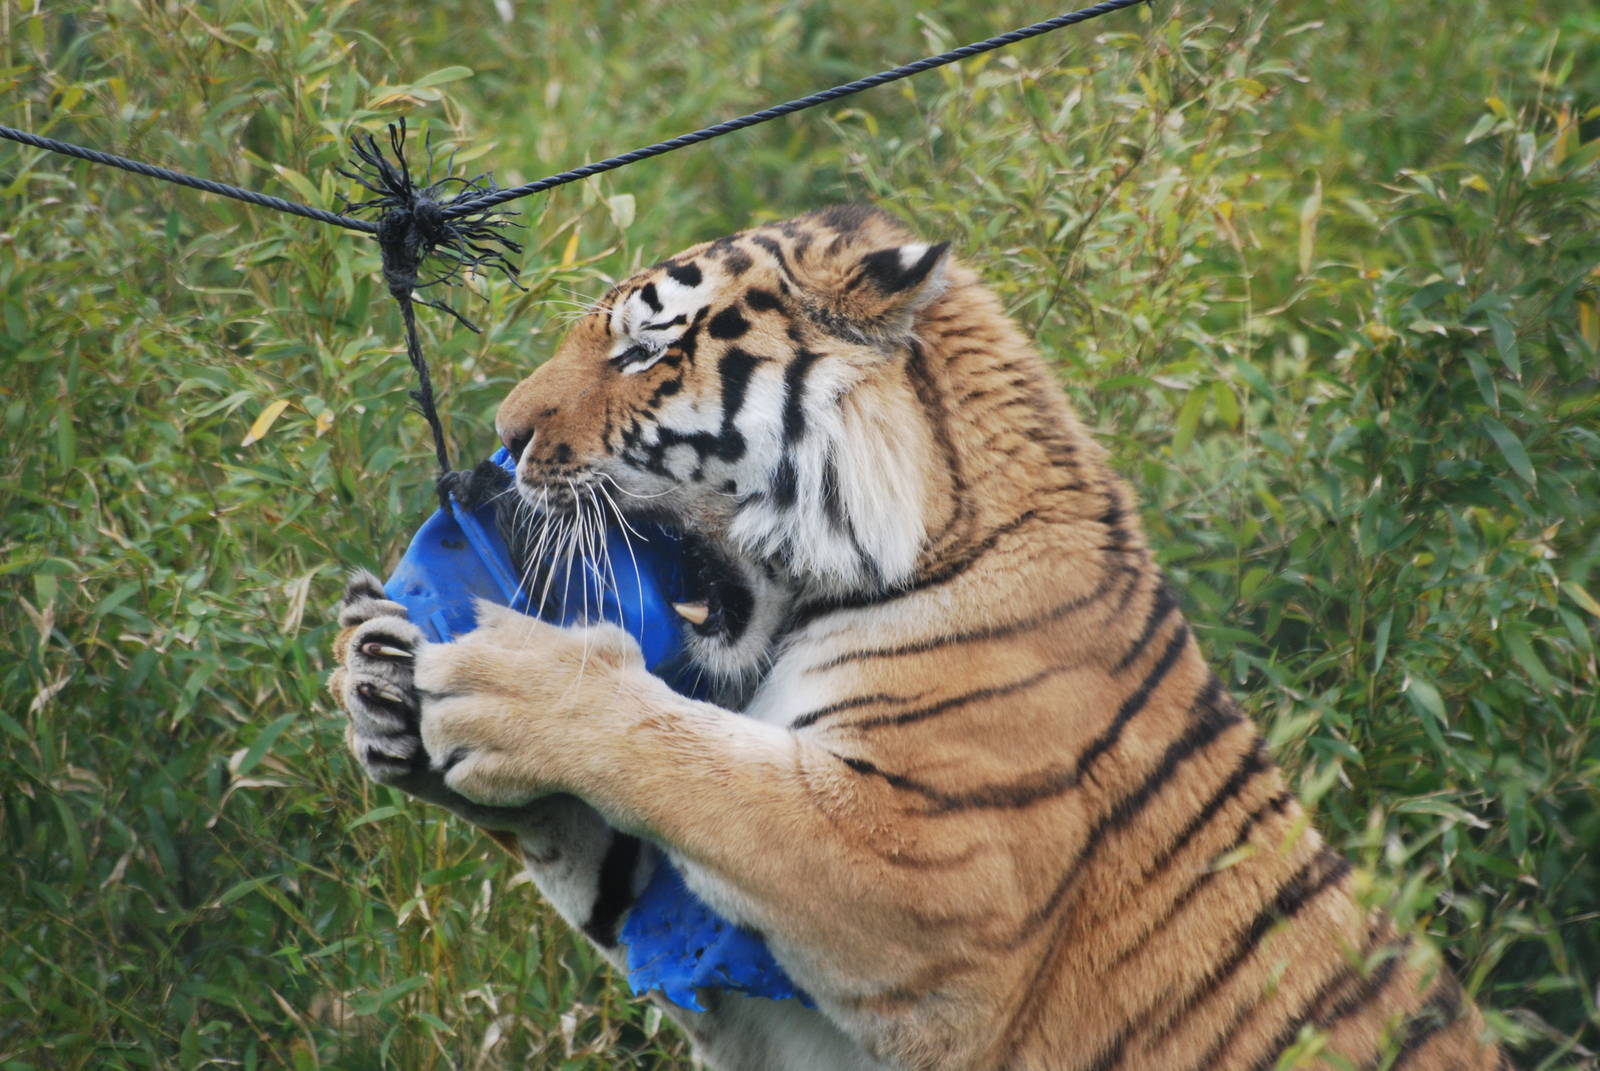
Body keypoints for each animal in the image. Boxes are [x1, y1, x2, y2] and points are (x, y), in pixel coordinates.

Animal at [328, 205, 1508, 1070]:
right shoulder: (774, 1008)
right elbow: (602, 847)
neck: (925, 535)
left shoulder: (925, 878)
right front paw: (379, 675)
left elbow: (690, 763)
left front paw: (515, 676)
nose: (505, 437)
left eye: (645, 352)